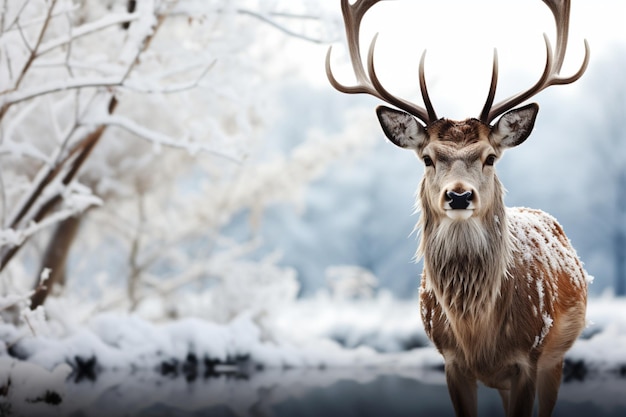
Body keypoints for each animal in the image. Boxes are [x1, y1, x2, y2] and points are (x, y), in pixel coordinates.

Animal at [326, 0, 588, 416]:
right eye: (428, 158)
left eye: (490, 157)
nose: (460, 196)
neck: (477, 335)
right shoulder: (451, 361)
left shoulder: (528, 359)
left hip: (557, 358)